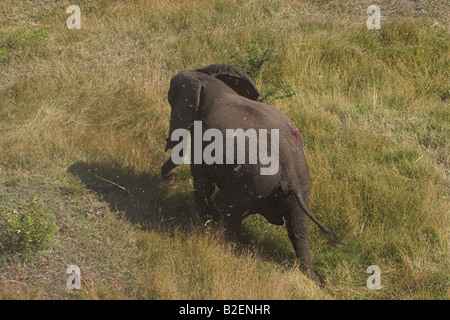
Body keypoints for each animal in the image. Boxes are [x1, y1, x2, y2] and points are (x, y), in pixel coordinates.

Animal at [162, 64, 344, 280]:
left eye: (170, 93)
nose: (169, 178)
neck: (208, 82)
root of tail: (290, 171)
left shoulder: (203, 138)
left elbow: (202, 182)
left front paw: (207, 222)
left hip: (253, 182)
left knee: (226, 205)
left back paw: (218, 240)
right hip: (299, 182)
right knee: (297, 228)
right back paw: (313, 279)